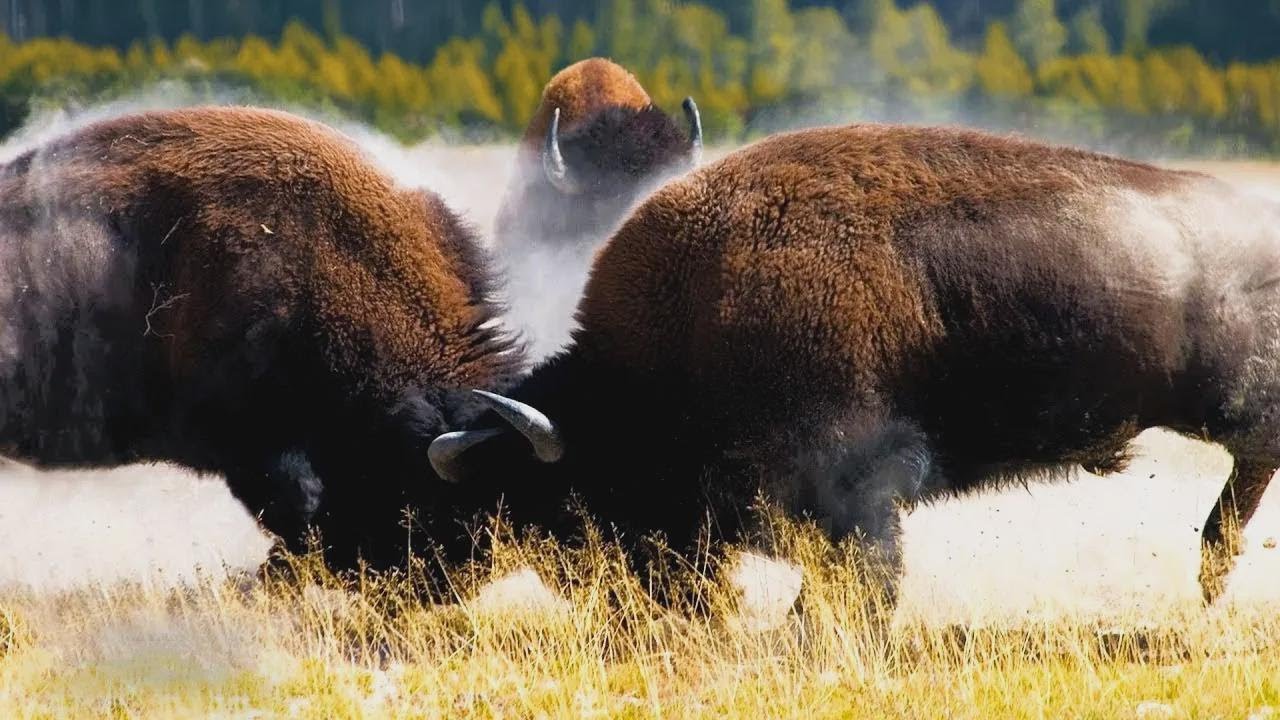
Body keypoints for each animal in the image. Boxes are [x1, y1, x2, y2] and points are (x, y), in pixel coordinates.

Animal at [433, 123, 1280, 604]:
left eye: (577, 498)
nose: (613, 602)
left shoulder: (858, 487)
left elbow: (861, 577)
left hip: (1226, 401)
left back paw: (1211, 574)